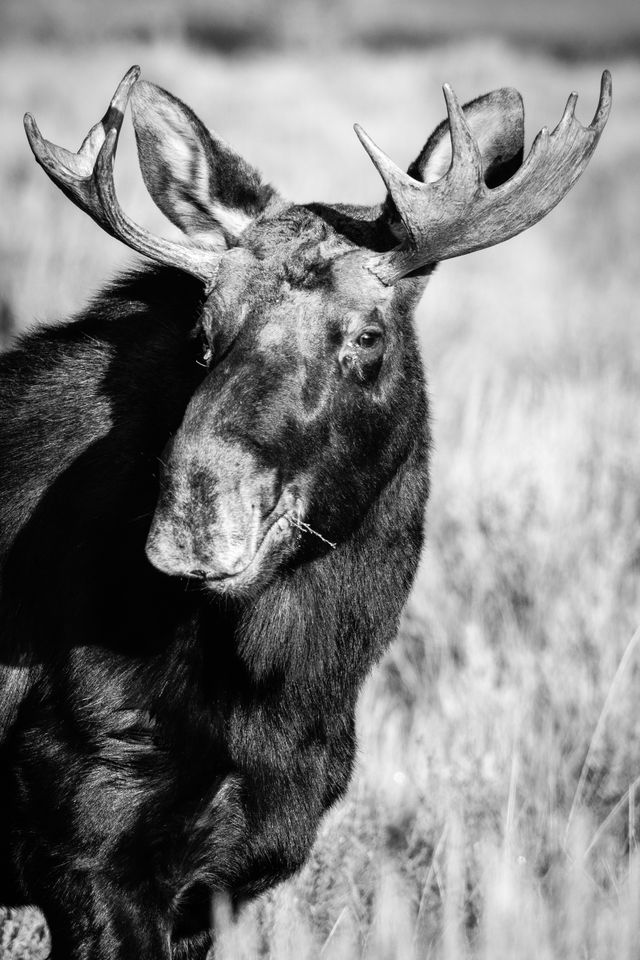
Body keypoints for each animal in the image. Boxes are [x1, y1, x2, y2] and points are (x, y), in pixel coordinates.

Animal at [0, 63, 608, 956]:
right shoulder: (87, 855)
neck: (288, 685)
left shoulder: (214, 884)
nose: (194, 516)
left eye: (367, 336)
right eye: (204, 335)